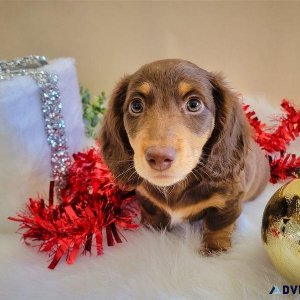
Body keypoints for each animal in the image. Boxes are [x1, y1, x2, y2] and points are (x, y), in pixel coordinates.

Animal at [99, 59, 270, 253]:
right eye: (136, 106)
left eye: (194, 104)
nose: (158, 157)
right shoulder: (145, 196)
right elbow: (152, 213)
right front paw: (151, 232)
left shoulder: (229, 201)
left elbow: (218, 225)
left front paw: (214, 250)